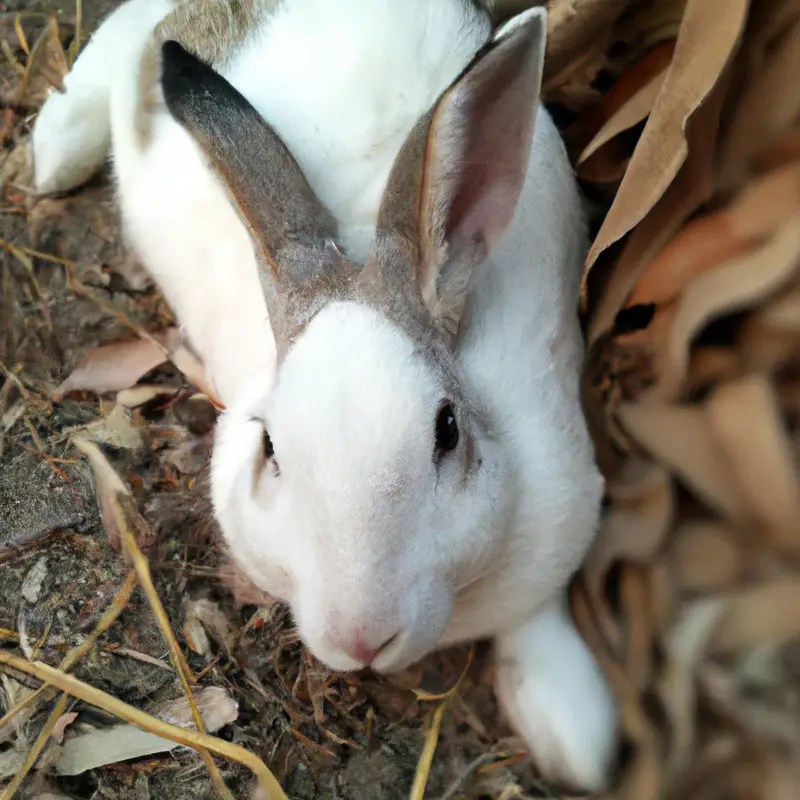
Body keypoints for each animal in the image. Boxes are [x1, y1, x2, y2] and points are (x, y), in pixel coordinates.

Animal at [32, 0, 618, 790]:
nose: (361, 636)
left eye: (447, 430)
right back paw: (53, 153)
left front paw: (574, 735)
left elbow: (538, 619)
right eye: (269, 447)